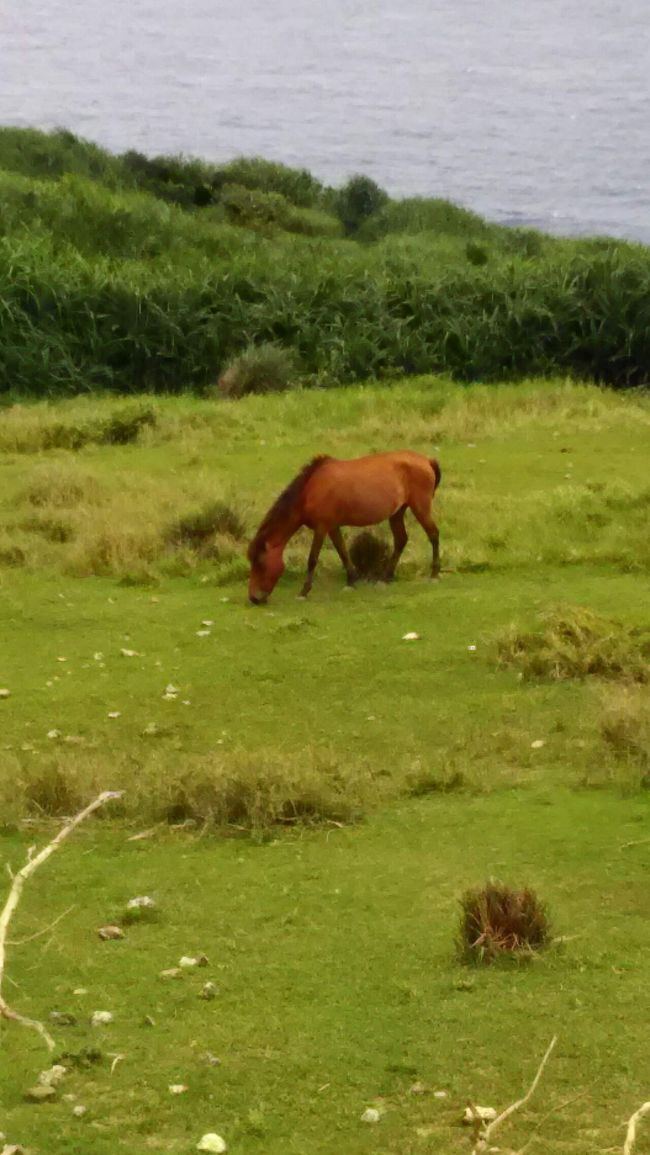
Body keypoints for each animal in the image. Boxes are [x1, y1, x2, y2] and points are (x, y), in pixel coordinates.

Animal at [248, 450, 443, 605]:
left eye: (260, 563)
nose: (254, 598)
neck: (310, 490)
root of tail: (427, 460)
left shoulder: (321, 527)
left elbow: (312, 559)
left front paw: (304, 592)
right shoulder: (332, 527)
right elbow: (342, 551)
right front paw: (351, 581)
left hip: (420, 507)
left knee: (433, 534)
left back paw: (434, 574)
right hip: (397, 513)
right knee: (401, 540)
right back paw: (386, 578)